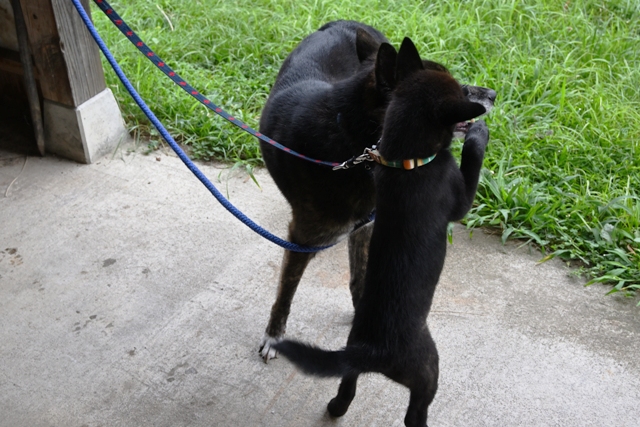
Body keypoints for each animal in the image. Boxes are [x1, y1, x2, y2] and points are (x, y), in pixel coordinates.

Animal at [273, 37, 491, 427]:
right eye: (464, 90)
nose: (492, 94)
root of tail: (372, 351)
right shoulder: (457, 196)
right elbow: (472, 163)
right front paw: (479, 136)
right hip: (428, 369)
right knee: (416, 409)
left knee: (347, 387)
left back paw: (336, 407)